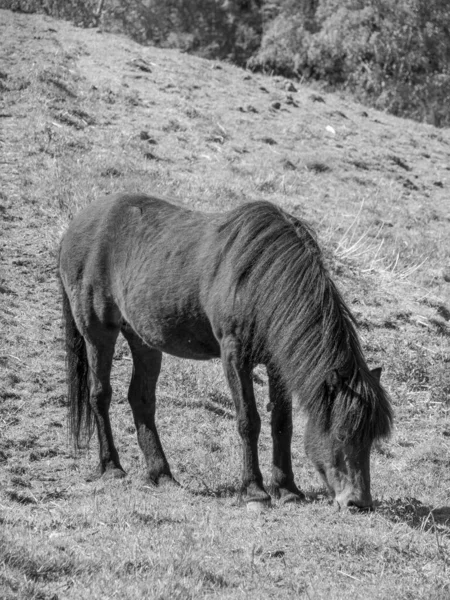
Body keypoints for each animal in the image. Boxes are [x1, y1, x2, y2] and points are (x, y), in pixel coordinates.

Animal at [58, 193, 392, 510]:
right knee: (100, 395)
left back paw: (161, 474)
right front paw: (255, 492)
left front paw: (287, 490)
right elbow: (248, 421)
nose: (358, 502)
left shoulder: (276, 365)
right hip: (97, 330)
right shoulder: (234, 357)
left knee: (141, 400)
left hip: (144, 340)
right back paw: (112, 467)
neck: (260, 279)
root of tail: (76, 224)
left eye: (371, 440)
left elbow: (282, 424)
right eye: (342, 435)